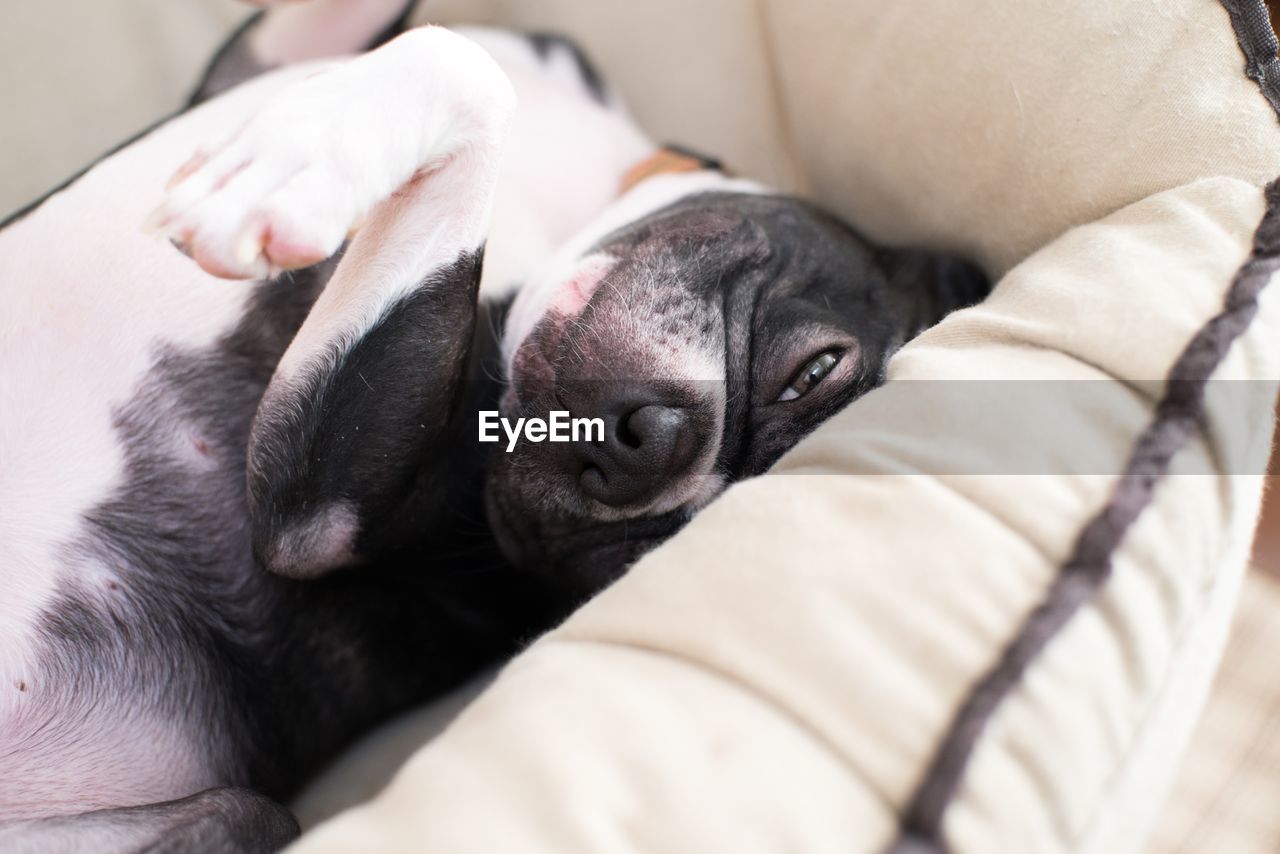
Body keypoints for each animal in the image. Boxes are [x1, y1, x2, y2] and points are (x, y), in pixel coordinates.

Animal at [0, 3, 988, 850]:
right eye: (811, 372)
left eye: (633, 563)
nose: (642, 454)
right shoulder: (262, 61)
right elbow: (444, 44)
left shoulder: (315, 512)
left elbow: (462, 67)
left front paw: (292, 172)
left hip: (234, 806)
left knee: (246, 817)